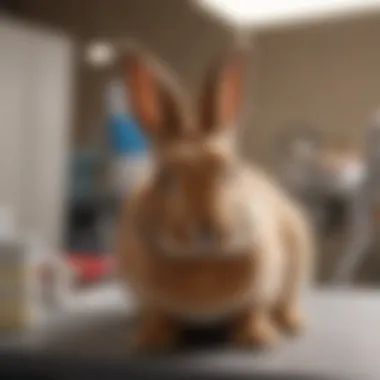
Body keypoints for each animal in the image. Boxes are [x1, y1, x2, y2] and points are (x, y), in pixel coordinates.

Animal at [116, 43, 314, 352]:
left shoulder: (261, 289)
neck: (202, 261)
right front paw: (151, 341)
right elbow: (157, 315)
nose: (206, 229)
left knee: (285, 303)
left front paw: (258, 340)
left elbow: (252, 312)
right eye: (165, 177)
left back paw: (292, 324)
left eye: (230, 170)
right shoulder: (148, 299)